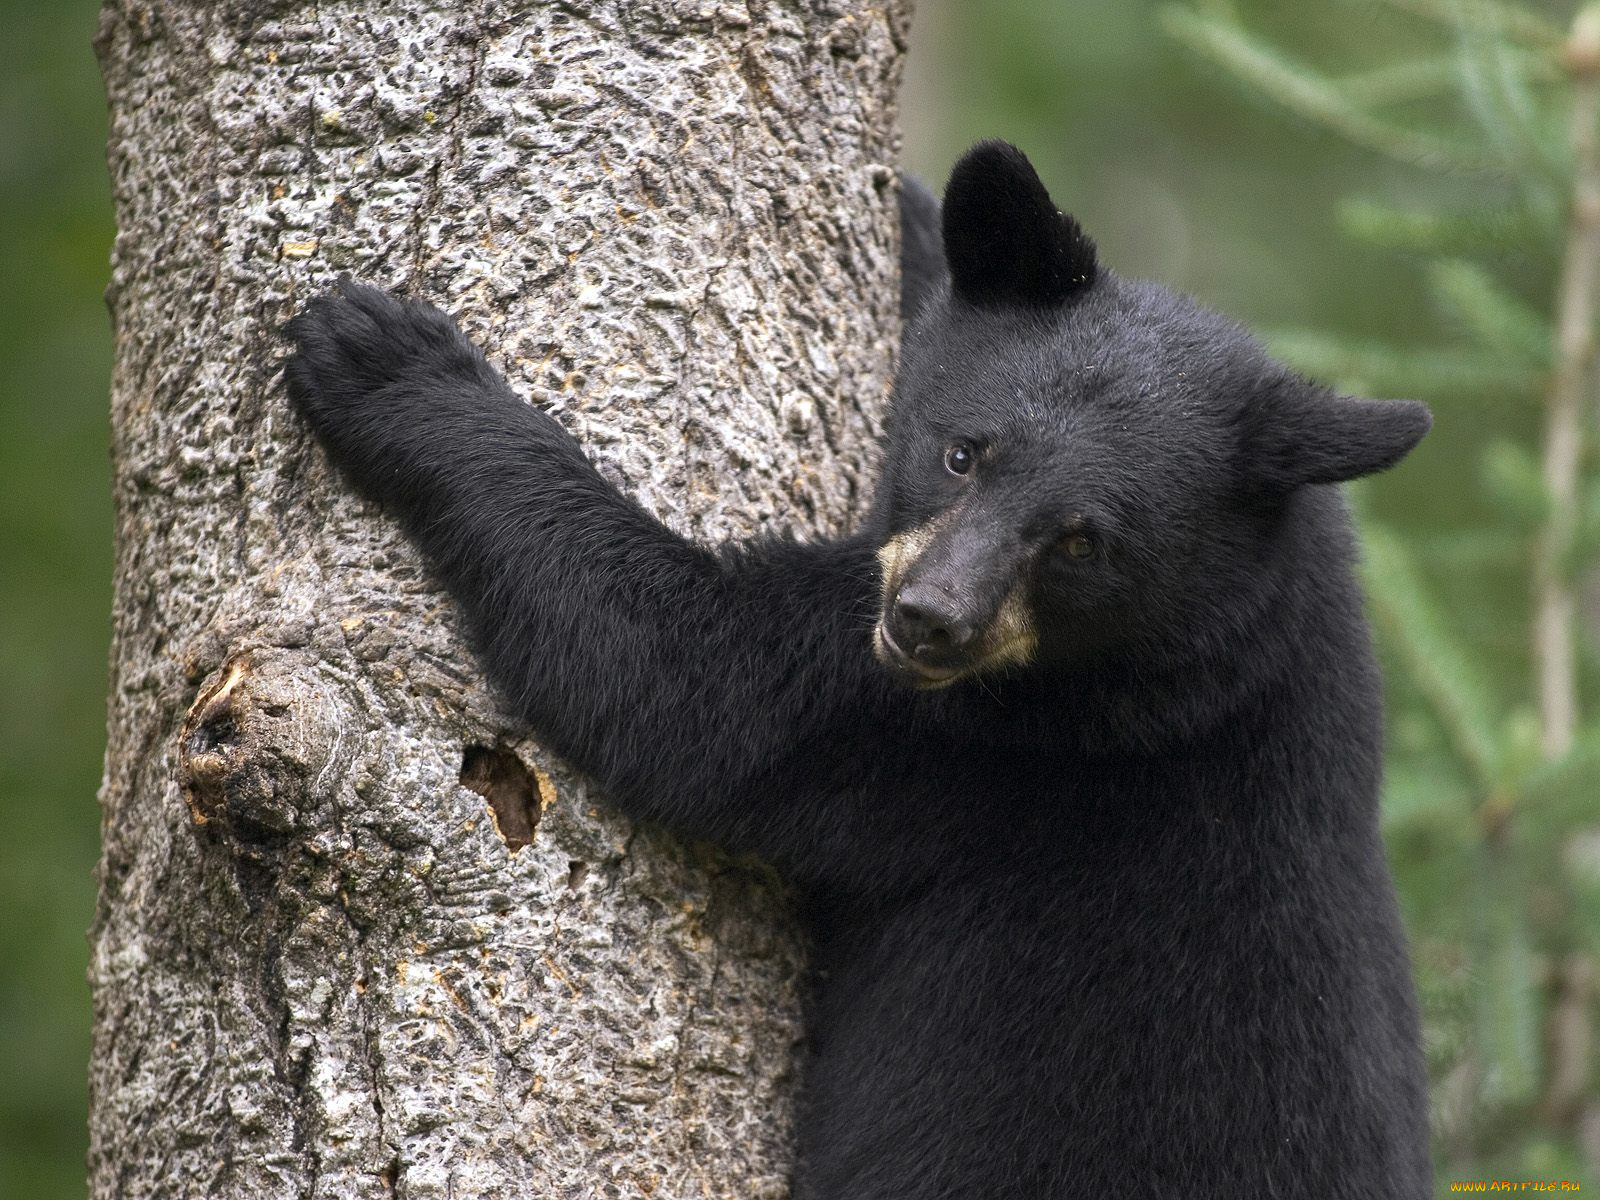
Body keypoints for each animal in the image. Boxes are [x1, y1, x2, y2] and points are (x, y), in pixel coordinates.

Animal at [284, 140, 1433, 1198]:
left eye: (1082, 542)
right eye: (964, 451)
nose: (929, 621)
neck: (1233, 627)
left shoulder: (1001, 742)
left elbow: (686, 685)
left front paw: (390, 363)